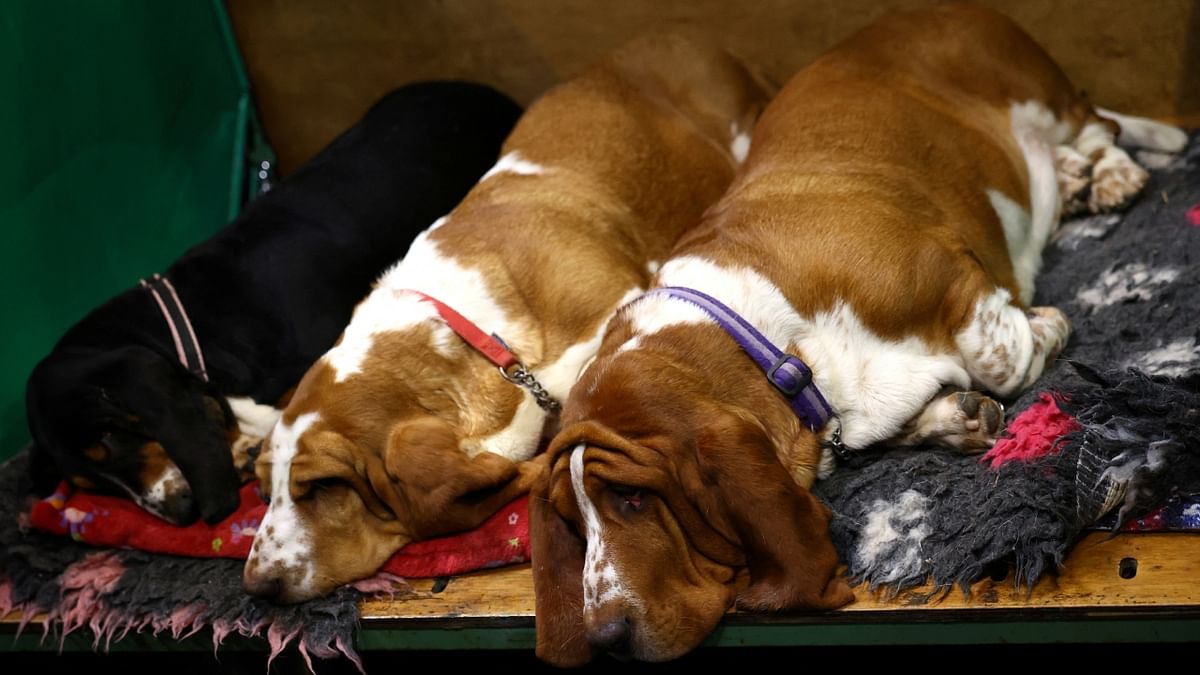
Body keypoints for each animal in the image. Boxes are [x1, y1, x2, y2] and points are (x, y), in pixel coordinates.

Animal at [530, 3, 1185, 662]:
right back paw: (1074, 180)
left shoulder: (955, 279)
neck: (770, 343)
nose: (603, 635)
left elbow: (1004, 357)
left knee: (1100, 128)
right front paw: (956, 417)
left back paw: (1110, 177)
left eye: (633, 497)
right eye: (571, 521)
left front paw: (1046, 324)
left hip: (1041, 97)